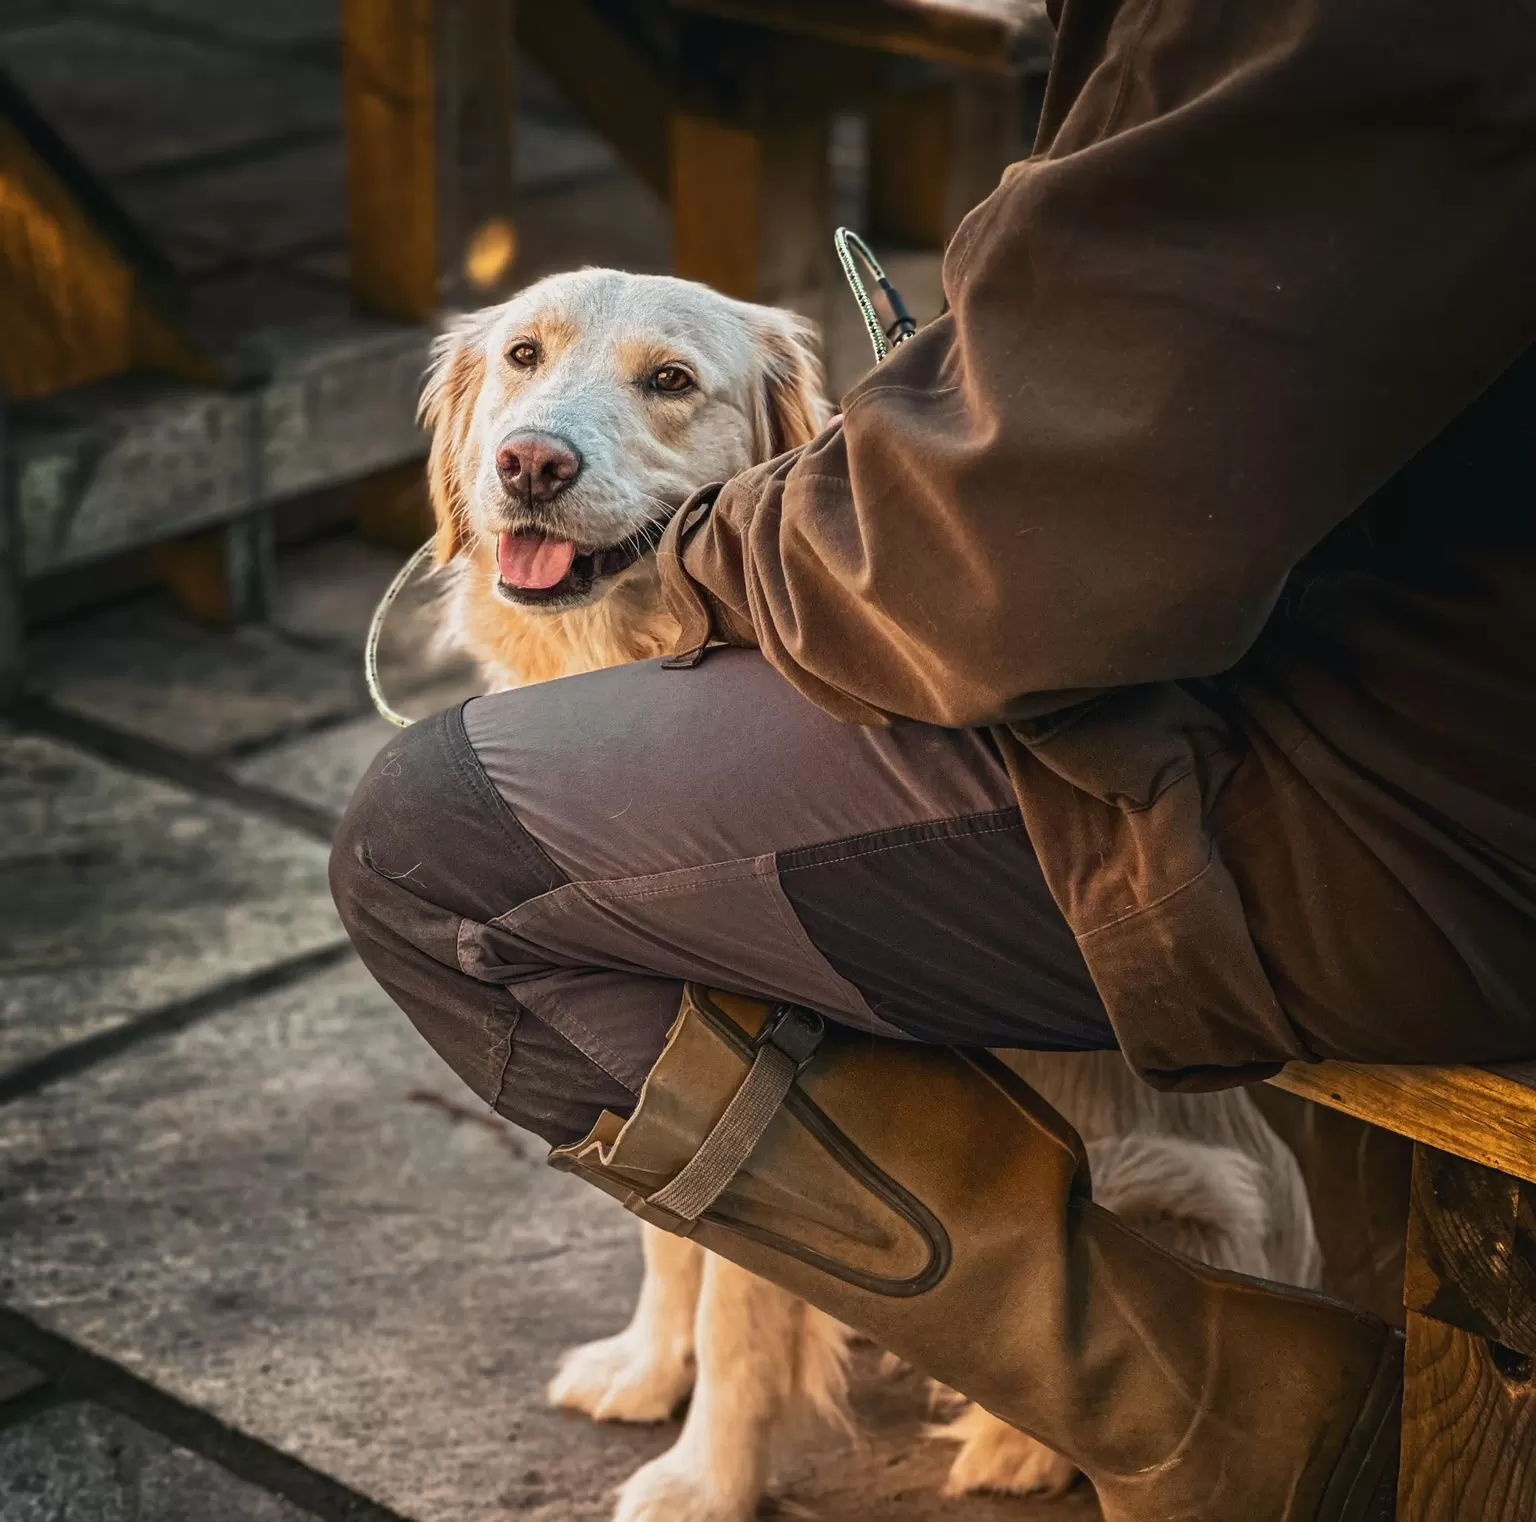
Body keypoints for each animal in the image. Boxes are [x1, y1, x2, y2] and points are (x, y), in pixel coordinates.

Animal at [420, 267, 1320, 1522]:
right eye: (521, 356)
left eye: (671, 381)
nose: (531, 464)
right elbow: (668, 1239)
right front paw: (647, 1367)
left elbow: (741, 1307)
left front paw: (705, 1478)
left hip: (1182, 1180)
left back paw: (1020, 1446)